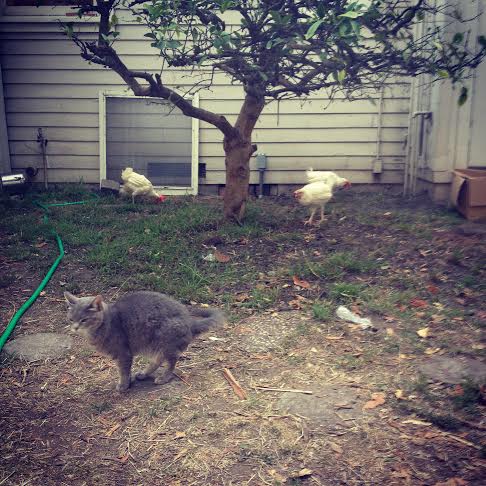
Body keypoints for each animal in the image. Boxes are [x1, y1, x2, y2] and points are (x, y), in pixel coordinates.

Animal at [63, 290, 225, 392]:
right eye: (71, 319)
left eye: (84, 320)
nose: (75, 328)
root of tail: (190, 322)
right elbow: (126, 371)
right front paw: (129, 382)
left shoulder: (123, 353)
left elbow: (123, 371)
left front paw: (123, 385)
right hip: (154, 346)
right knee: (158, 360)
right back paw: (143, 374)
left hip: (166, 342)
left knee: (171, 362)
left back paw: (163, 377)